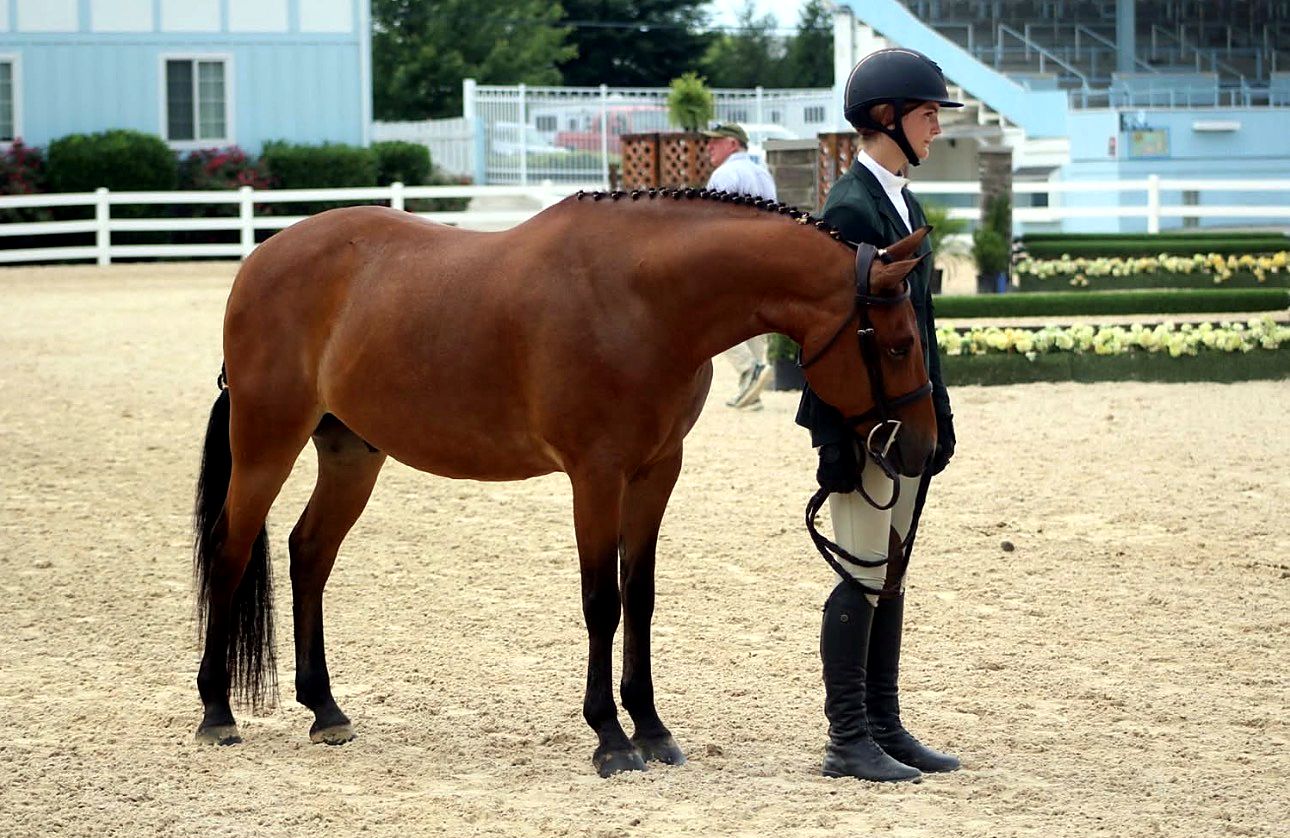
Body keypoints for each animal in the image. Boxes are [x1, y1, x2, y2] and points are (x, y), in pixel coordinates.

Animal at [191, 187, 936, 777]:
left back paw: (325, 709)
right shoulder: (596, 476)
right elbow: (601, 602)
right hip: (266, 442)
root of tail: (261, 259)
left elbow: (640, 598)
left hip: (352, 453)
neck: (644, 300)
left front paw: (653, 729)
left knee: (310, 553)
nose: (923, 450)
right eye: (898, 345)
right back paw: (217, 712)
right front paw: (611, 737)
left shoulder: (656, 473)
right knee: (230, 553)